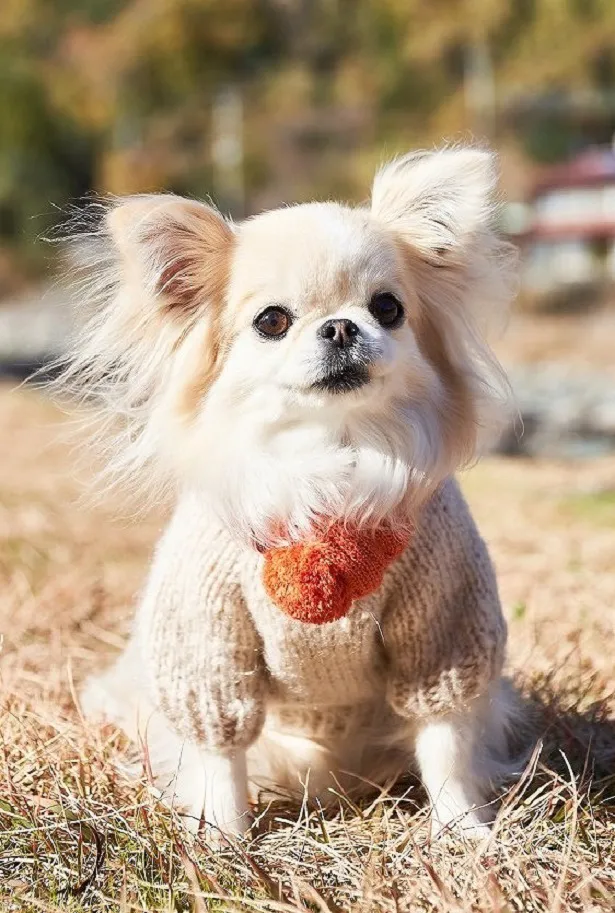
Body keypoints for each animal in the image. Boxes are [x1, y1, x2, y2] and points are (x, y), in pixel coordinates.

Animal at [59, 146, 520, 836]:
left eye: (388, 308)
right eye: (272, 321)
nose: (341, 328)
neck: (328, 454)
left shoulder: (444, 630)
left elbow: (446, 742)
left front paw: (465, 831)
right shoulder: (209, 645)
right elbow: (219, 754)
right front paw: (223, 838)